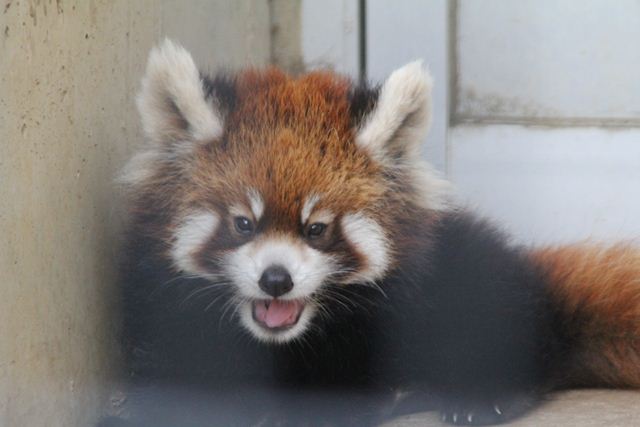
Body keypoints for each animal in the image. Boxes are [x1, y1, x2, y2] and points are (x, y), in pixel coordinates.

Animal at [110, 38, 640, 426]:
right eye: (244, 223)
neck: (280, 346)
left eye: (317, 228)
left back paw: (475, 396)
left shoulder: (377, 329)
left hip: (467, 284)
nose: (276, 280)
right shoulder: (169, 315)